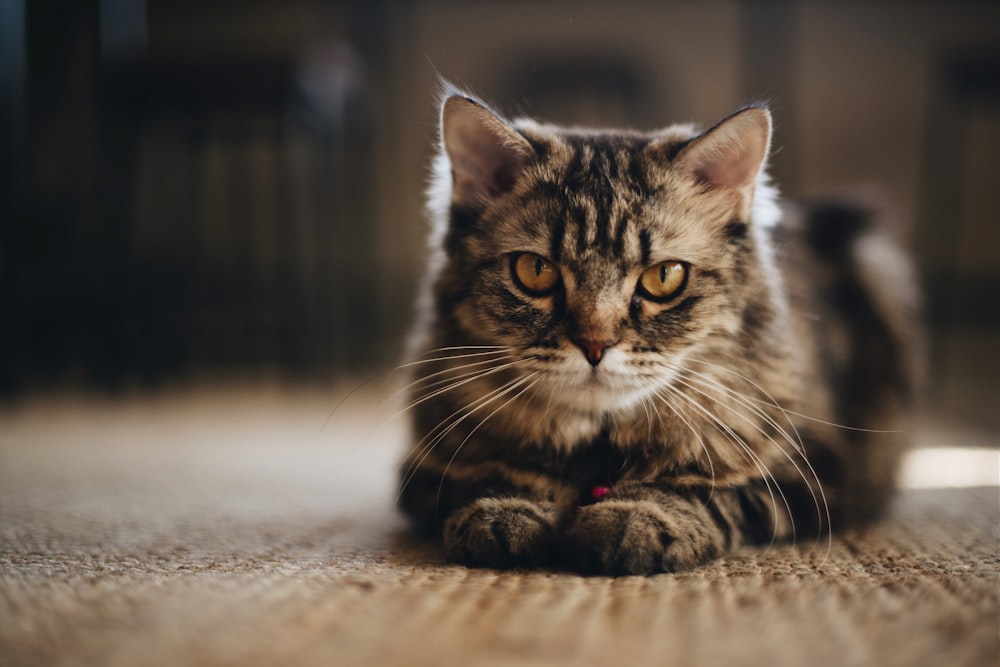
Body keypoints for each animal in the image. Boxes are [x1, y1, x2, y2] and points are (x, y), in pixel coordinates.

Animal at [396, 82, 920, 576]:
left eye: (664, 277)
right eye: (535, 271)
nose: (594, 345)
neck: (598, 453)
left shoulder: (814, 476)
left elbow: (711, 492)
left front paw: (634, 519)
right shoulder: (423, 473)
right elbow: (498, 473)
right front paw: (505, 512)